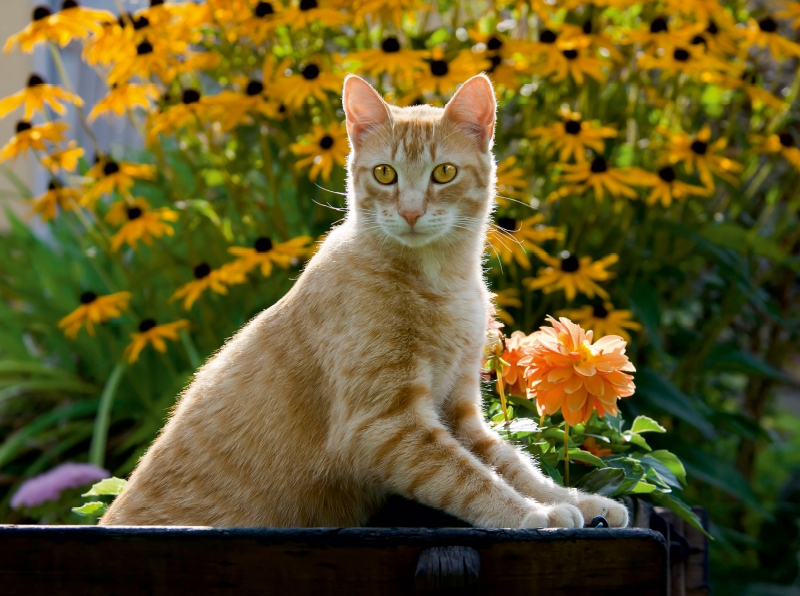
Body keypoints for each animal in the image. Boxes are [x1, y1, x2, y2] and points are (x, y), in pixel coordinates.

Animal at [101, 75, 632, 532]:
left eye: (444, 172)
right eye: (384, 173)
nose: (411, 212)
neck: (443, 282)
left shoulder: (460, 411)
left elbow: (514, 464)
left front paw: (577, 501)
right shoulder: (386, 425)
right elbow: (470, 478)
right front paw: (532, 514)